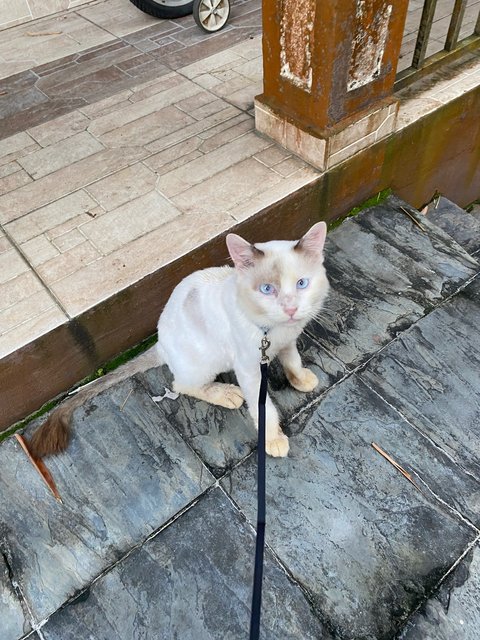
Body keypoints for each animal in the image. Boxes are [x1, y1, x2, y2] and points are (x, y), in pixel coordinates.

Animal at [27, 222, 326, 458]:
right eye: (266, 289)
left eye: (302, 284)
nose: (290, 309)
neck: (271, 331)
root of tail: (160, 344)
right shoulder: (249, 369)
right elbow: (263, 407)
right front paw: (273, 438)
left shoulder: (288, 340)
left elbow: (293, 360)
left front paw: (301, 379)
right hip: (205, 362)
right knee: (180, 384)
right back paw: (225, 394)